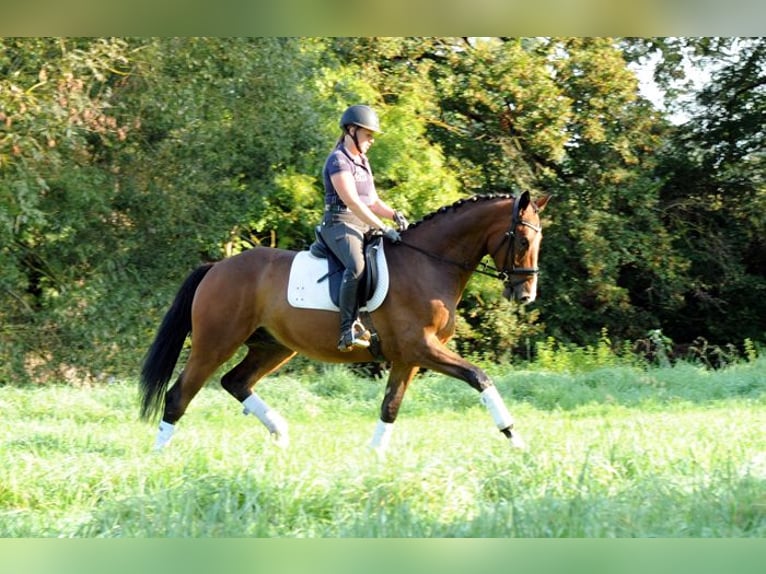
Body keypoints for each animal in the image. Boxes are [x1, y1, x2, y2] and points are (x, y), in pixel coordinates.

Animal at [141, 192, 548, 454]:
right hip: (216, 342)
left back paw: (281, 433)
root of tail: (217, 267)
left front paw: (375, 457)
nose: (526, 294)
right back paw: (160, 456)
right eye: (522, 240)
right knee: (180, 395)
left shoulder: (408, 358)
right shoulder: (422, 348)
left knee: (235, 381)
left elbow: (390, 407)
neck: (429, 262)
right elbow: (480, 377)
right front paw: (515, 438)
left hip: (274, 346)